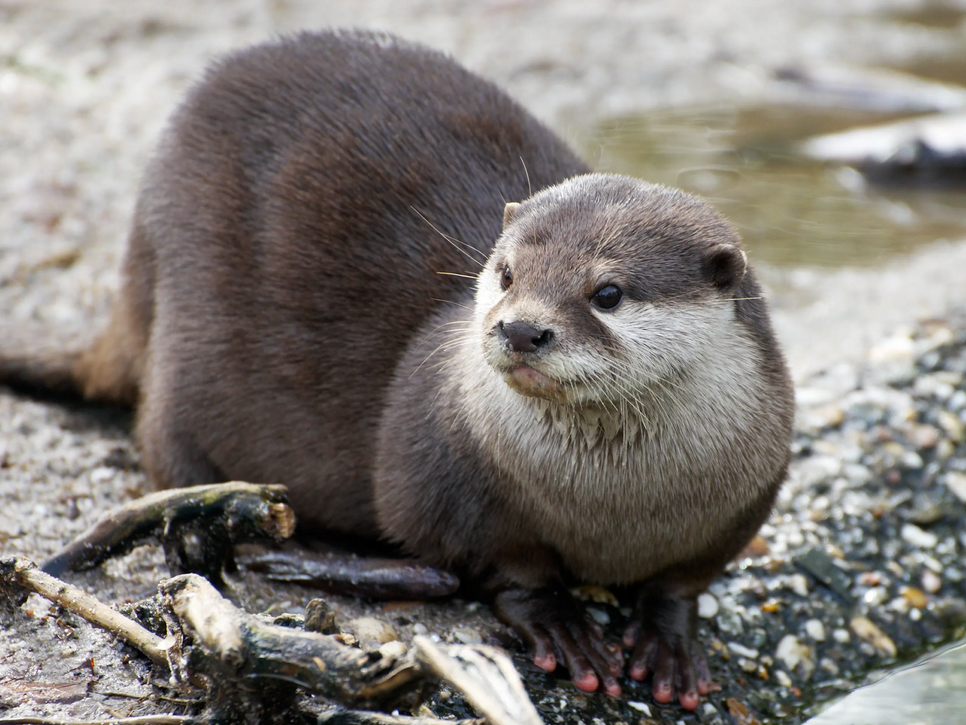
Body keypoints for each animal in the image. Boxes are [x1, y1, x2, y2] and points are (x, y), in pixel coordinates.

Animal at [0, 29, 794, 709]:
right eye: (506, 273)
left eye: (607, 293)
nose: (520, 328)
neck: (613, 506)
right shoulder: (443, 472)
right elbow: (500, 566)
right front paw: (561, 621)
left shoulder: (746, 495)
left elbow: (685, 581)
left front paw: (667, 638)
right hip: (183, 346)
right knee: (178, 463)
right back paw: (306, 553)